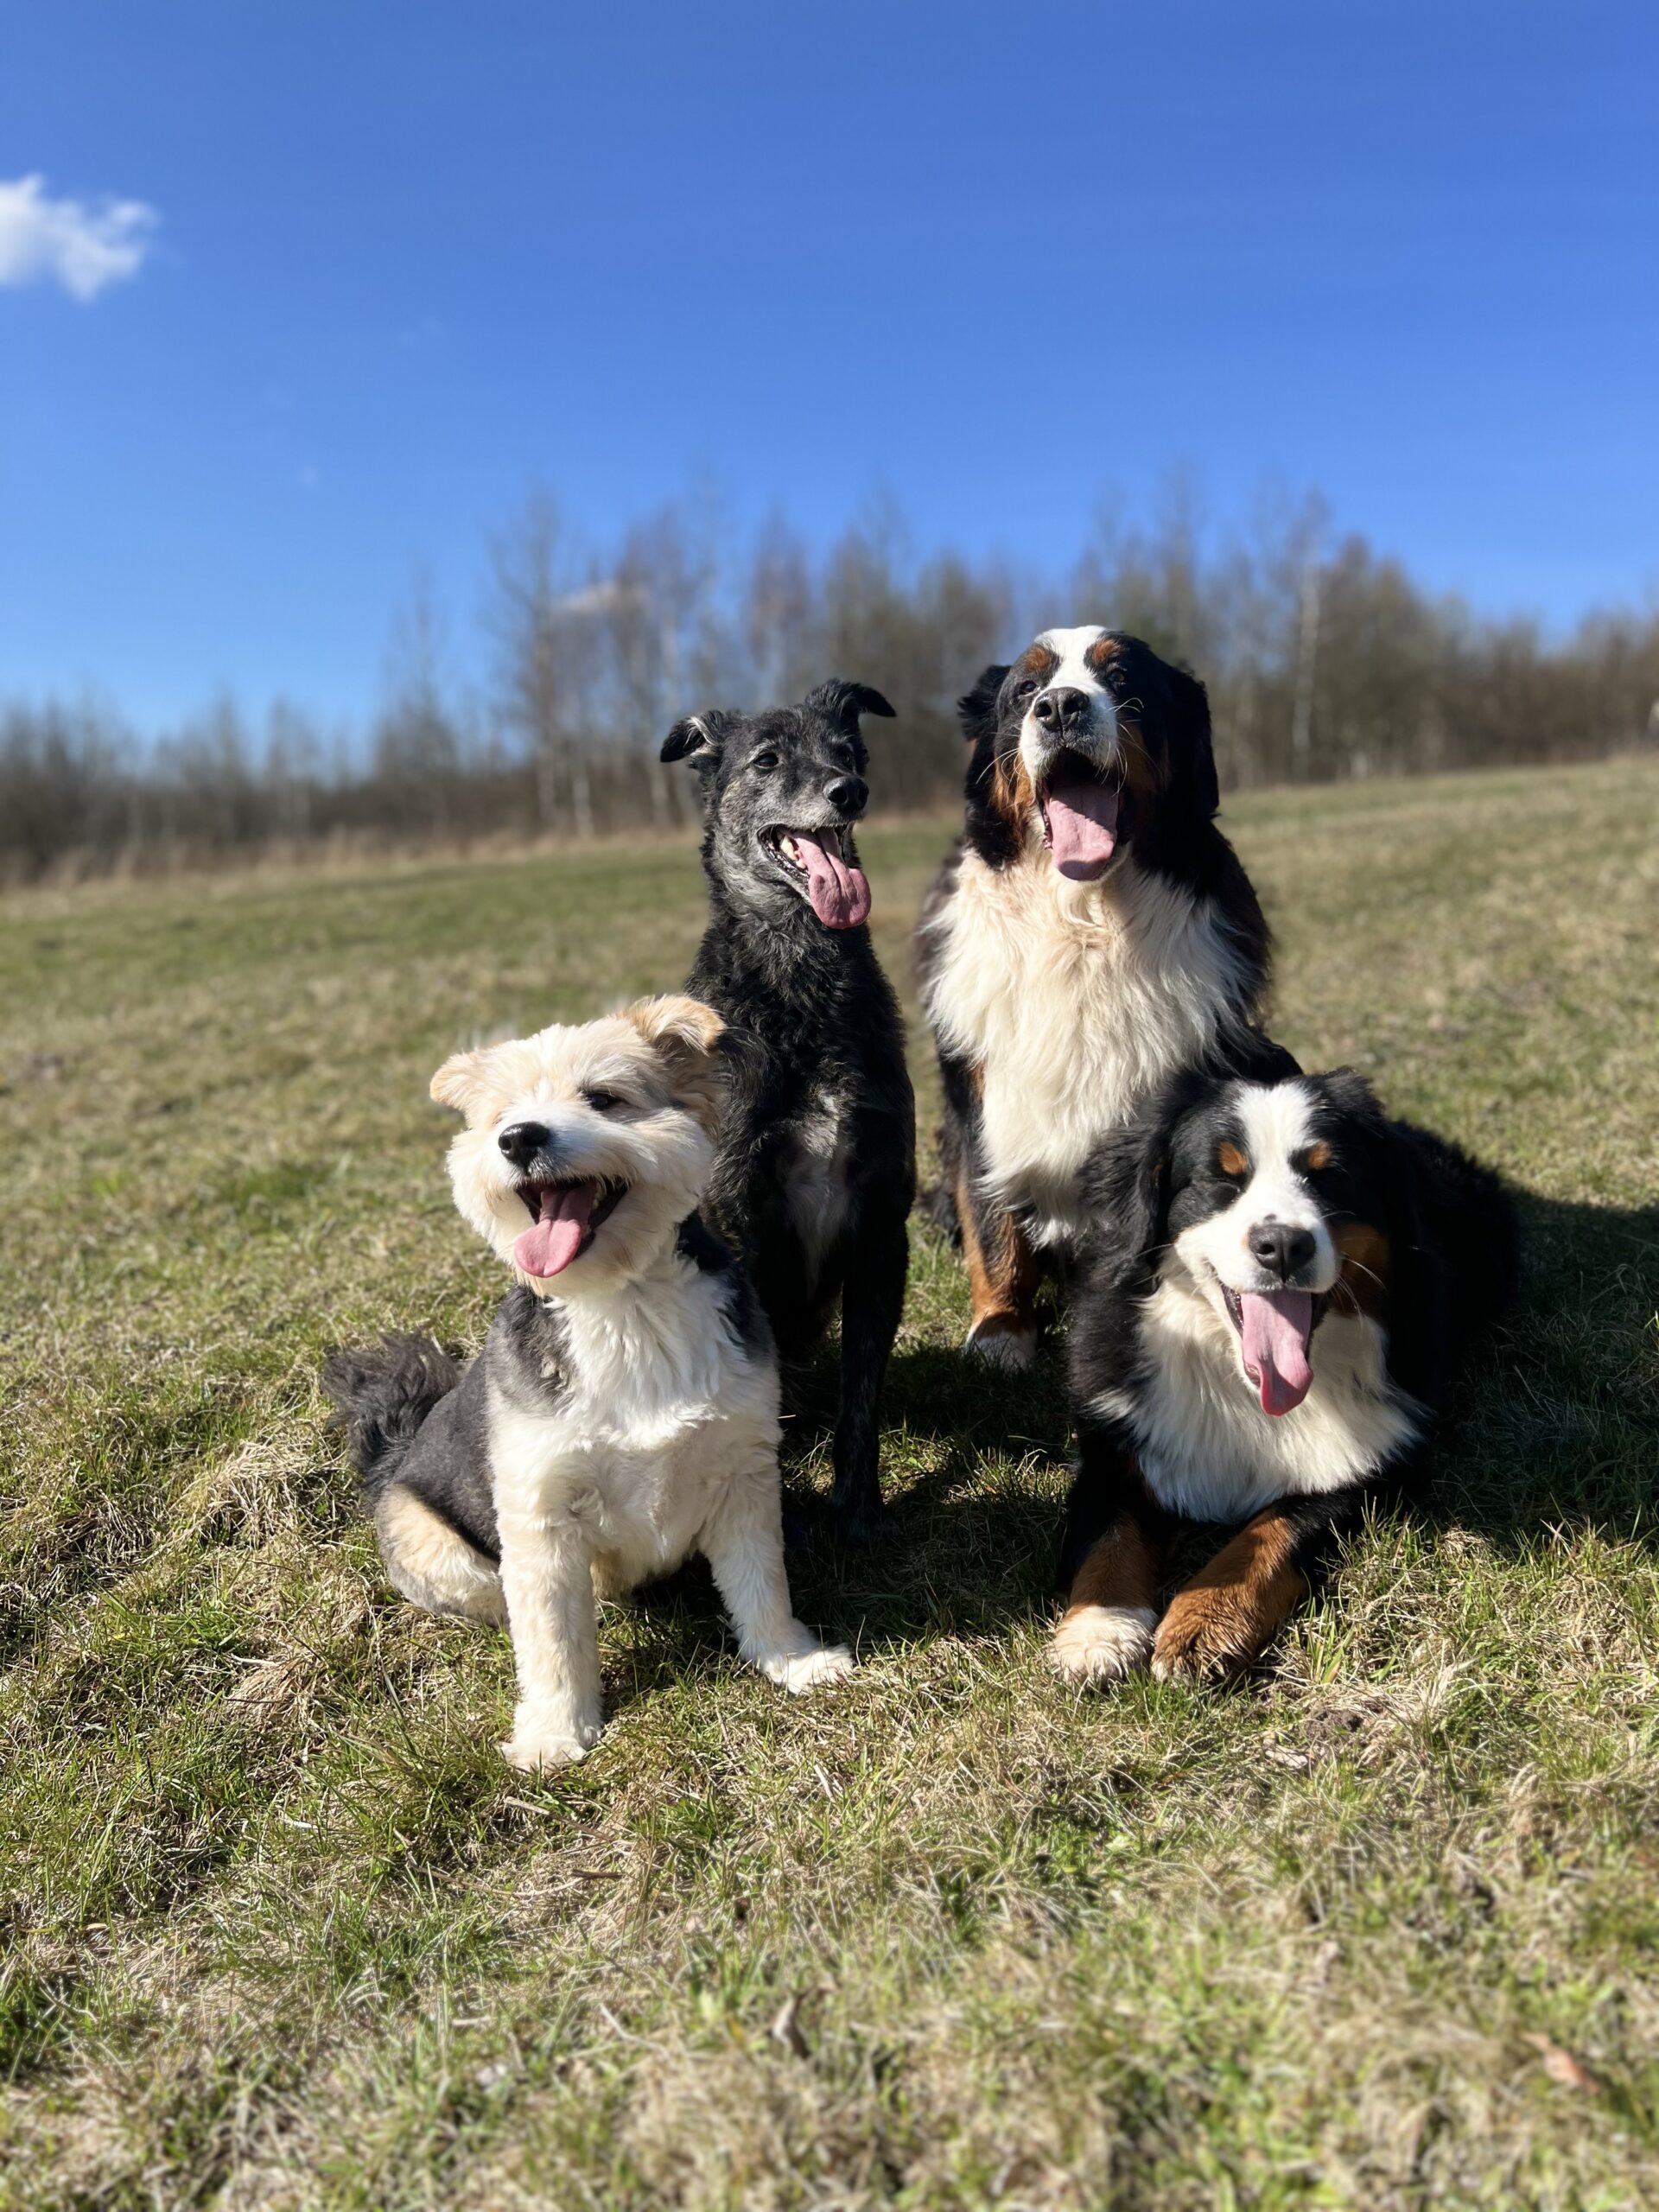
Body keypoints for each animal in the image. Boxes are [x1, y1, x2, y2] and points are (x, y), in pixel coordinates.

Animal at [323, 995, 852, 1772]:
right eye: (500, 1114)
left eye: (603, 1098)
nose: (518, 1139)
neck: (622, 1306)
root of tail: (393, 1454)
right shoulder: (538, 1515)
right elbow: (549, 1636)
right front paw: (555, 1729)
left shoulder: (743, 1471)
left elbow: (763, 1580)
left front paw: (789, 1658)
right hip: (435, 1544)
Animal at [661, 680, 916, 1545]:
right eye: (767, 760)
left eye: (849, 749)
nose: (850, 791)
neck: (802, 983)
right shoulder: (741, 1217)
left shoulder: (882, 1227)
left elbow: (862, 1400)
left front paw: (860, 1511)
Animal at [916, 627, 1272, 1366]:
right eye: (1026, 689)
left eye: (1123, 679)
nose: (1059, 708)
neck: (1083, 925)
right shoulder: (977, 1098)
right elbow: (992, 1221)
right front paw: (1001, 1330)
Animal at [1052, 1065, 1518, 1687]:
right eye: (1221, 1178)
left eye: (1329, 1177)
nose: (1282, 1246)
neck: (1243, 1388)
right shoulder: (1116, 1440)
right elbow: (1109, 1532)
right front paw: (1098, 1630)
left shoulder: (1372, 1464)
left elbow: (1271, 1530)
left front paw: (1203, 1624)